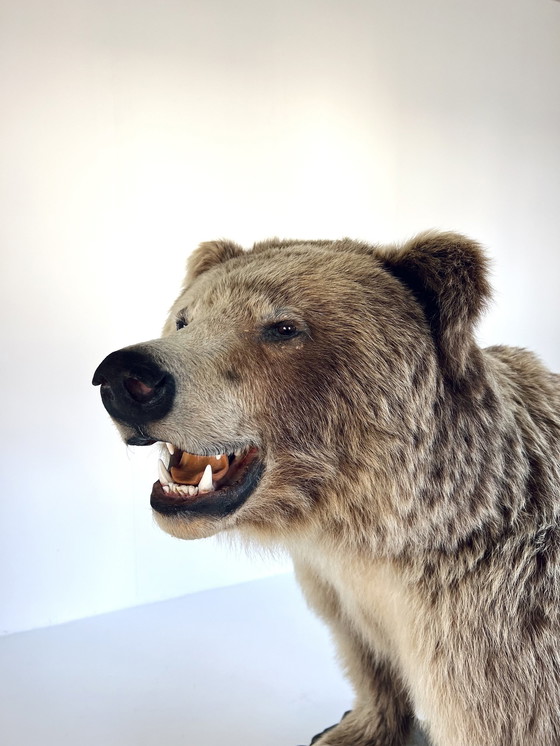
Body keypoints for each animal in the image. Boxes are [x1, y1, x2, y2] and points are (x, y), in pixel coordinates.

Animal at [93, 231, 560, 746]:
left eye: (283, 326)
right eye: (183, 318)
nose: (127, 376)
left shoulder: (501, 623)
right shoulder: (343, 593)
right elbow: (368, 659)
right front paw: (350, 729)